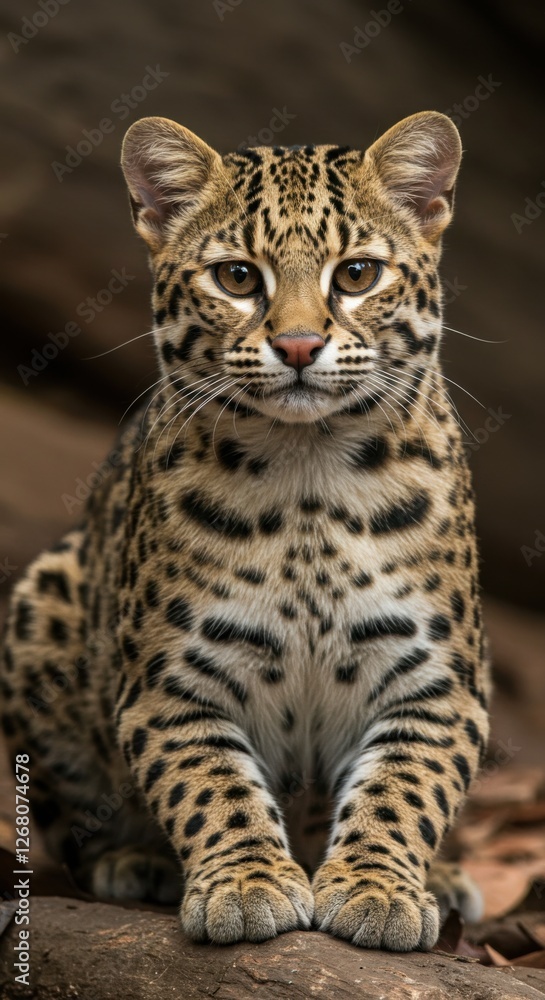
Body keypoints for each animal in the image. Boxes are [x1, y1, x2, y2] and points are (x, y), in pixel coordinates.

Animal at [1, 111, 490, 951]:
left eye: (356, 275)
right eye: (236, 278)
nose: (296, 346)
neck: (308, 471)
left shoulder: (435, 683)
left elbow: (402, 788)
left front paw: (377, 890)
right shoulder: (172, 686)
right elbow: (212, 786)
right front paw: (247, 884)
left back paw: (444, 879)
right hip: (39, 605)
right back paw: (138, 862)